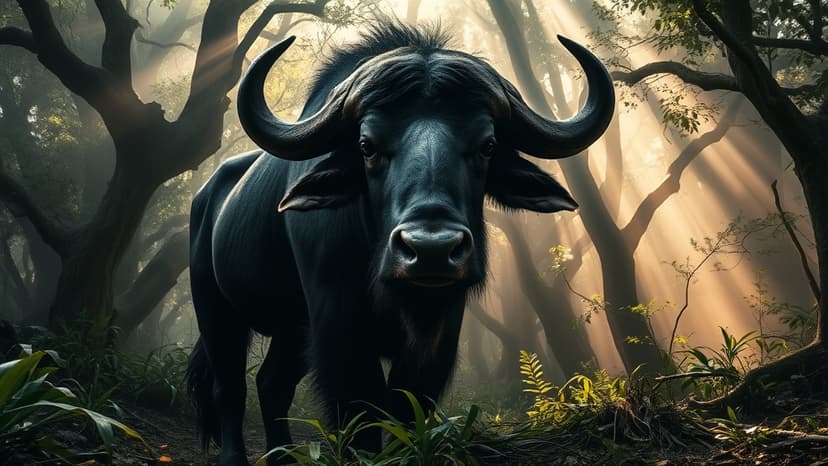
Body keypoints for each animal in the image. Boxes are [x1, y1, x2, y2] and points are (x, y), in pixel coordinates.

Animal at [187, 24, 614, 465]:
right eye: (366, 145)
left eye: (488, 145)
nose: (431, 250)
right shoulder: (337, 323)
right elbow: (360, 407)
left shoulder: (440, 334)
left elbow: (409, 406)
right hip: (214, 306)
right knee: (228, 386)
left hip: (291, 329)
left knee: (272, 383)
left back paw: (283, 457)